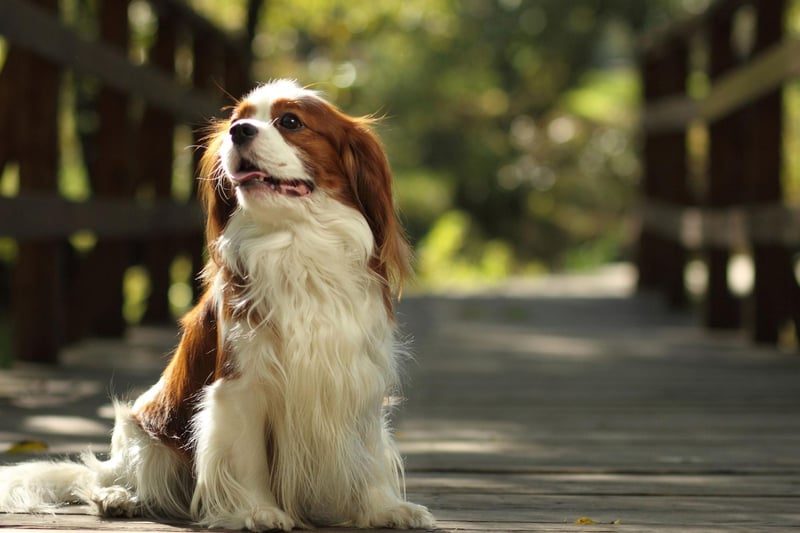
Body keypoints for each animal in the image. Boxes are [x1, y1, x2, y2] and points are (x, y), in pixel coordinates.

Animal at [1, 80, 438, 532]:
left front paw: (384, 508)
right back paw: (118, 497)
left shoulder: (357, 381)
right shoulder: (240, 386)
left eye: (290, 121)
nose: (239, 132)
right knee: (102, 477)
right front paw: (259, 511)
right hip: (145, 438)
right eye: (235, 120)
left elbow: (369, 455)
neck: (296, 242)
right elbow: (247, 459)